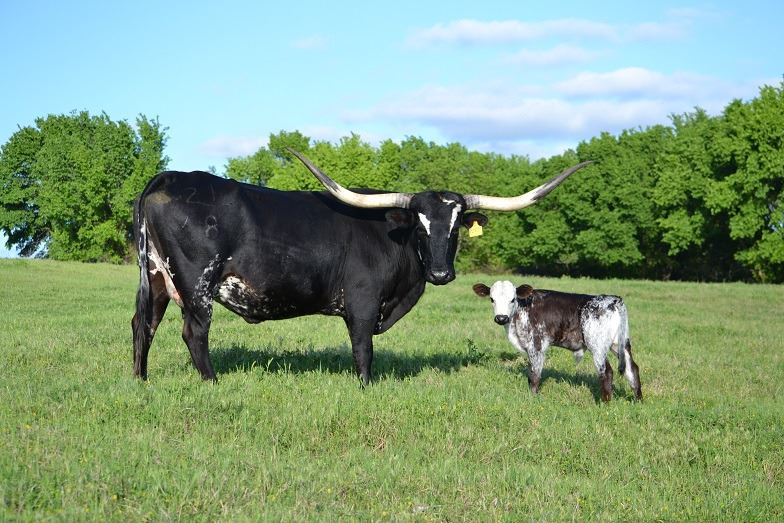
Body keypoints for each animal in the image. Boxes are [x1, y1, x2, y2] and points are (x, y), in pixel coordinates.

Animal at [132, 150, 591, 385]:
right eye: (420, 225)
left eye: (457, 224)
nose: (441, 274)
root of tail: (169, 177)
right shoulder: (363, 303)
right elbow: (363, 348)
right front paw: (366, 386)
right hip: (196, 282)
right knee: (193, 332)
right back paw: (212, 382)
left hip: (156, 276)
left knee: (143, 324)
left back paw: (141, 380)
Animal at [473, 281, 642, 401]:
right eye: (492, 299)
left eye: (512, 299)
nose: (501, 318)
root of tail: (613, 299)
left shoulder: (536, 345)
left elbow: (534, 374)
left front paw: (532, 398)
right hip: (620, 344)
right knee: (632, 368)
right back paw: (638, 400)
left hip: (597, 345)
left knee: (606, 372)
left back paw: (605, 403)